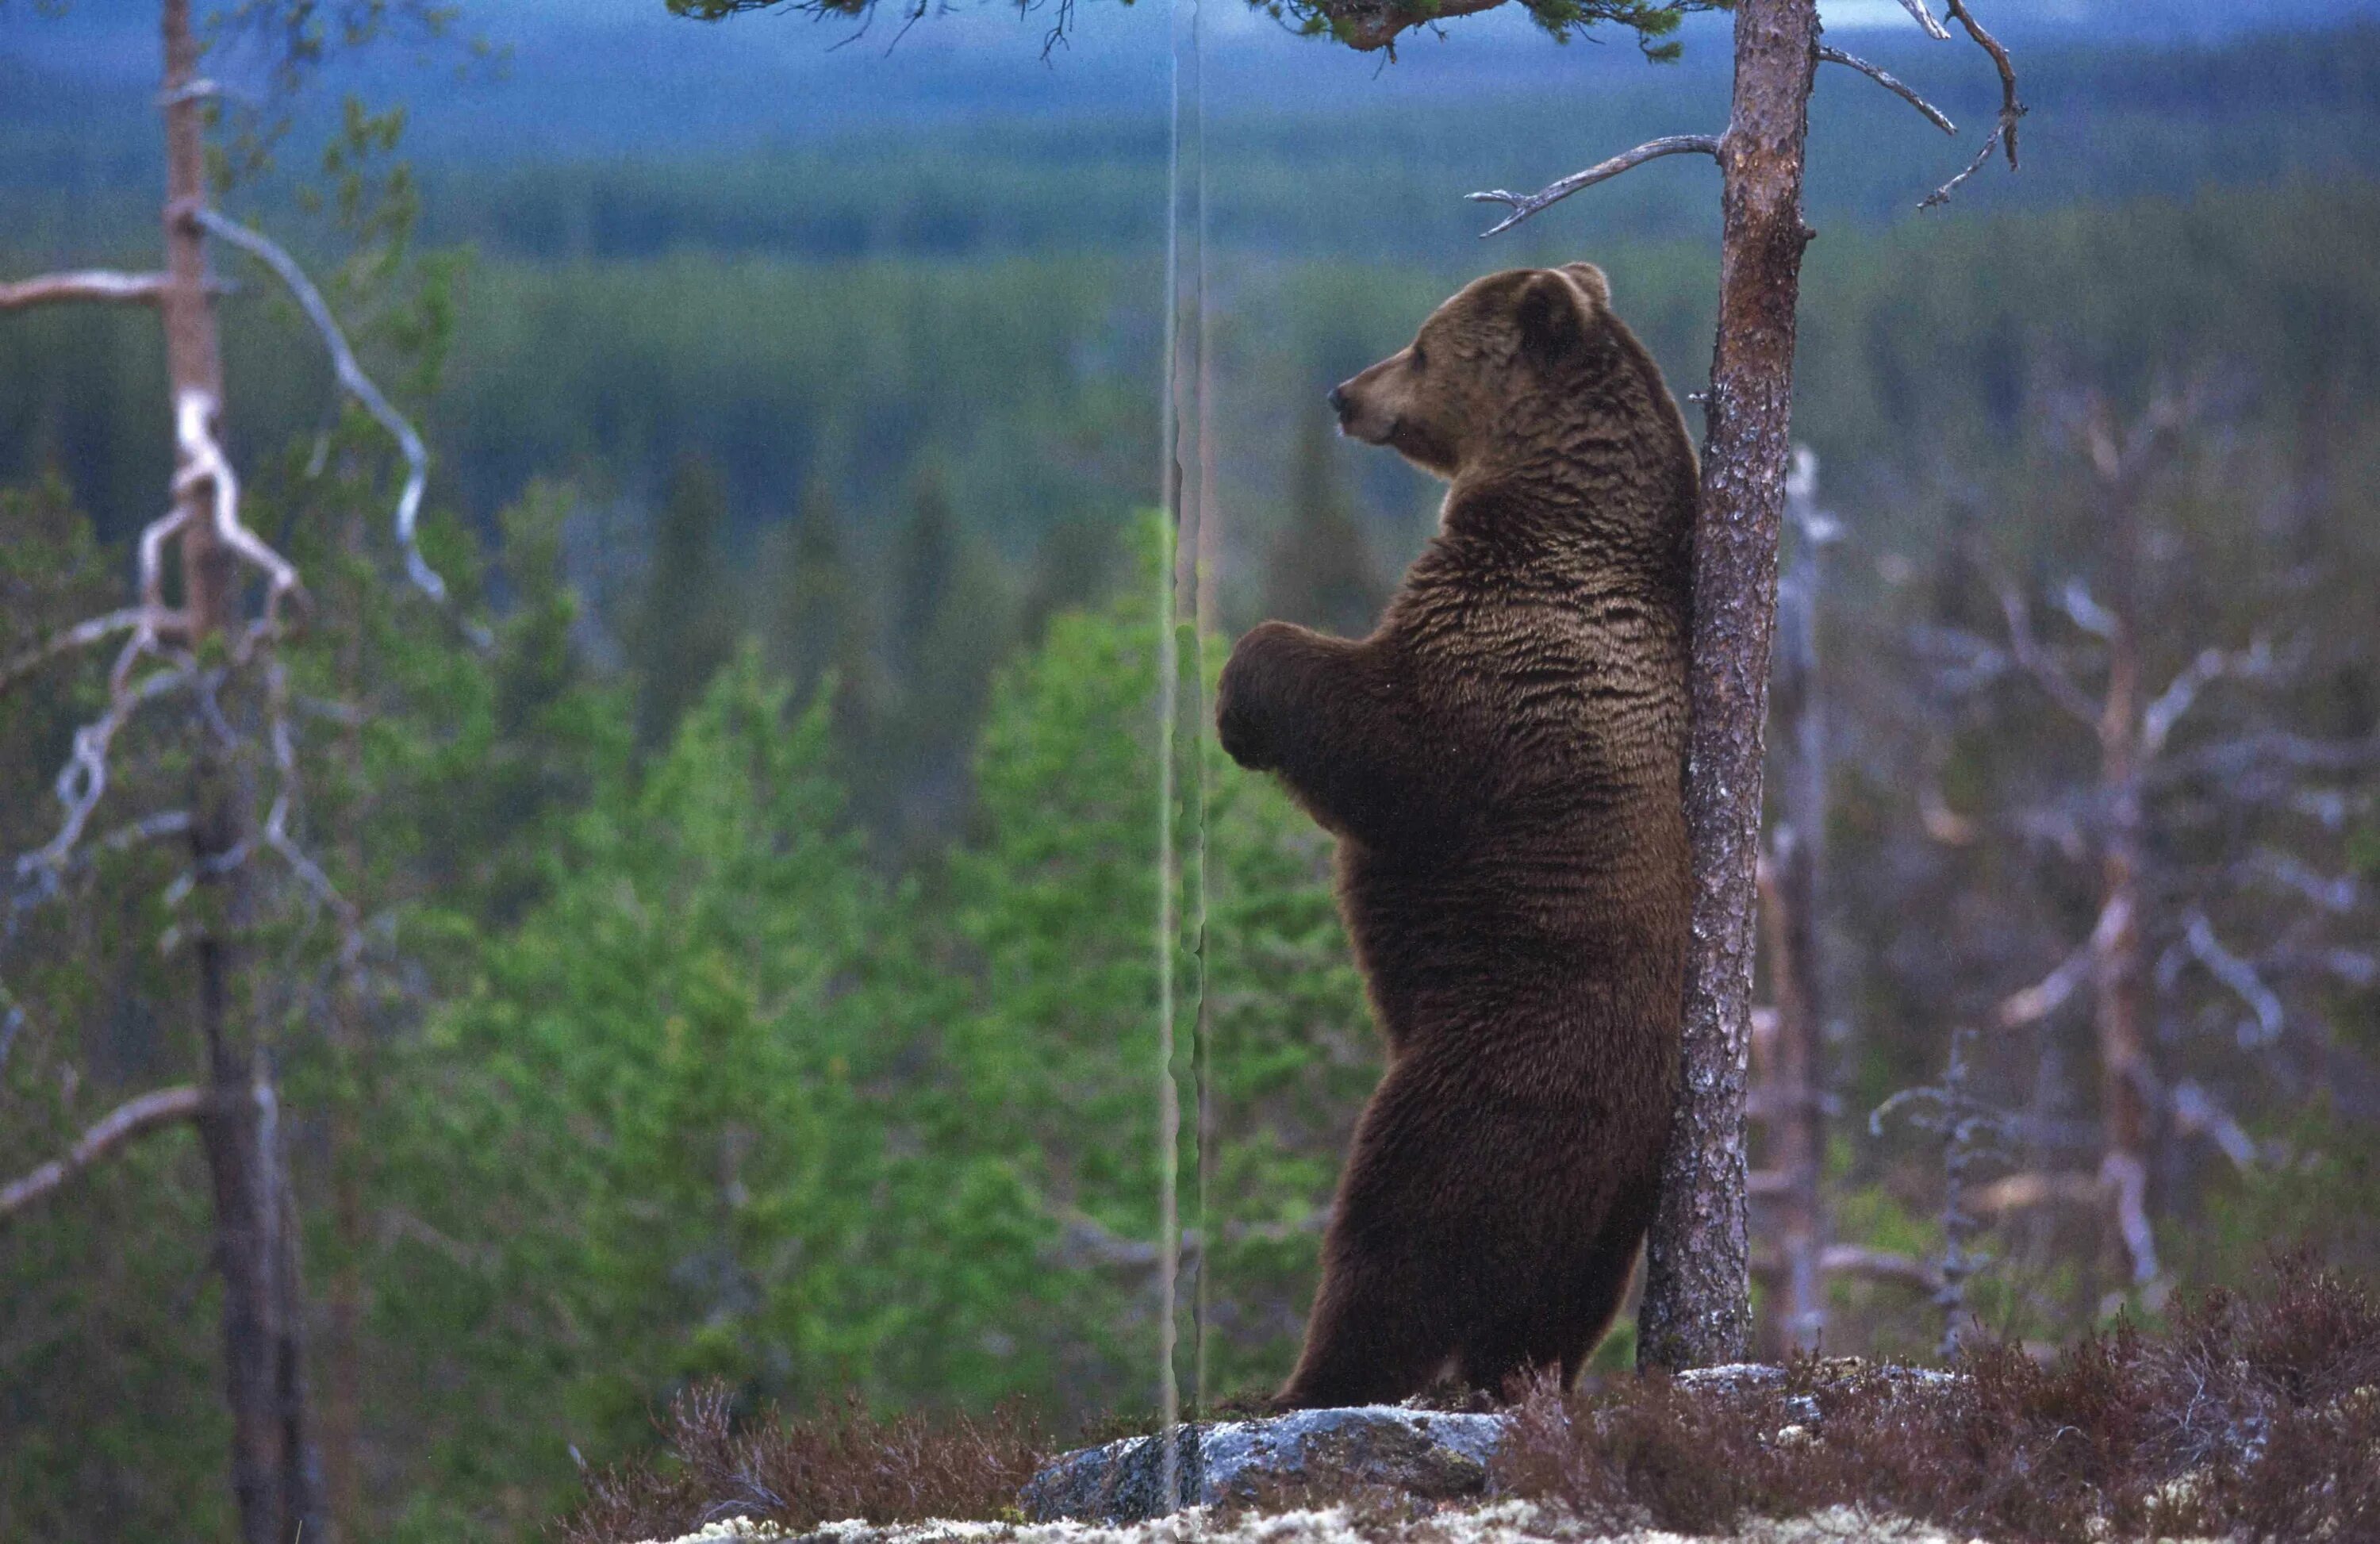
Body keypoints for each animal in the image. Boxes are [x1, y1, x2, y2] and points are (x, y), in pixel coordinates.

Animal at [1219, 261, 1704, 1408]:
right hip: (1610, 1217)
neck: (1560, 507)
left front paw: (1241, 693)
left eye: (1423, 344)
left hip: (1488, 1080)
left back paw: (1300, 1381)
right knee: (1550, 1306)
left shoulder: (1503, 658)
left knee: (1396, 1228)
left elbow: (1382, 737)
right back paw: (1510, 1376)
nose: (1343, 394)